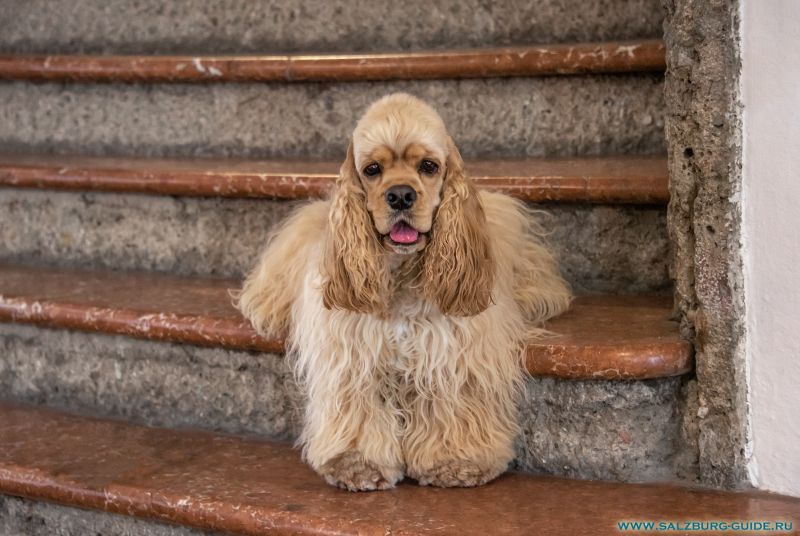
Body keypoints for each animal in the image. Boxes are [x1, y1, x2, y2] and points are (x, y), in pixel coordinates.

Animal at [234, 94, 572, 492]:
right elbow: (359, 408)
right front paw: (356, 462)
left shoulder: (451, 351)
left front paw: (455, 460)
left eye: (428, 166)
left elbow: (451, 403)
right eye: (372, 169)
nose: (400, 196)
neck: (400, 273)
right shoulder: (354, 354)